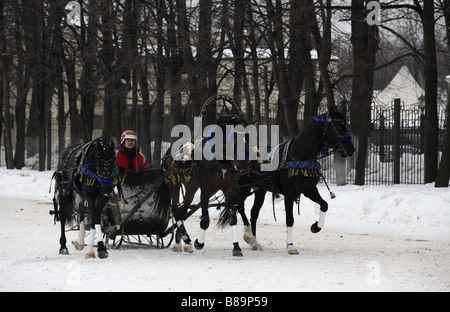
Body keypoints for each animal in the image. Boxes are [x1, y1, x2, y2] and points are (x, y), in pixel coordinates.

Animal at [230, 106, 356, 254]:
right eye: (339, 126)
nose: (351, 149)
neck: (299, 157)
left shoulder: (309, 190)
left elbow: (324, 205)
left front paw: (316, 227)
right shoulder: (289, 194)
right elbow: (290, 219)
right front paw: (290, 245)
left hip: (260, 190)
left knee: (253, 212)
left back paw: (254, 242)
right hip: (243, 187)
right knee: (240, 206)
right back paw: (249, 235)